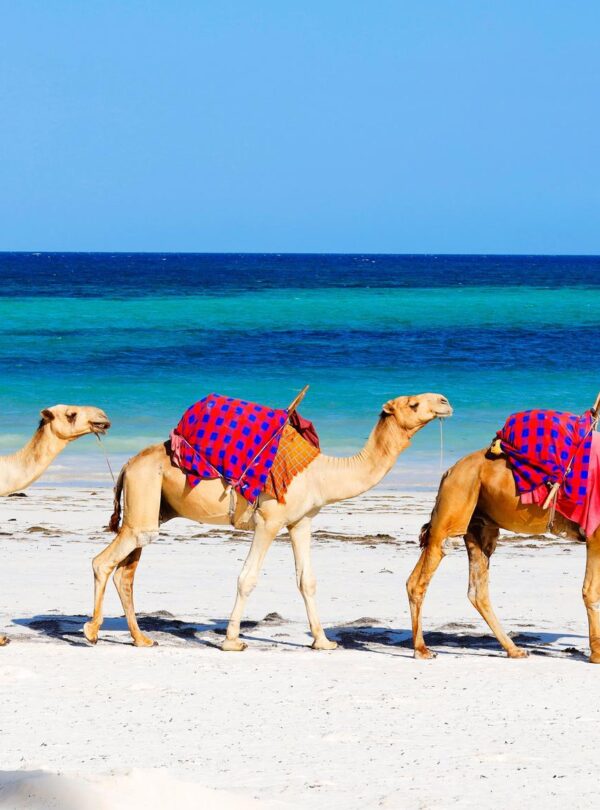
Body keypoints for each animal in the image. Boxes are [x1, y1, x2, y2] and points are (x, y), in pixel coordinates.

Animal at [83, 392, 452, 650]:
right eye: (414, 403)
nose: (445, 402)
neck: (321, 474)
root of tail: (128, 464)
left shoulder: (301, 521)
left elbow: (307, 581)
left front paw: (323, 641)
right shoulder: (269, 520)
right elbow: (247, 578)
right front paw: (232, 640)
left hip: (152, 507)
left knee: (126, 572)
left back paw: (141, 638)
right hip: (144, 495)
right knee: (103, 562)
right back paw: (91, 631)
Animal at [406, 445, 600, 663]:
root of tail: (449, 471)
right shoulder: (595, 535)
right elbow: (591, 590)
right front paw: (596, 654)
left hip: (479, 525)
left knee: (477, 591)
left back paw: (514, 649)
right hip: (454, 507)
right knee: (423, 575)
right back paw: (422, 650)